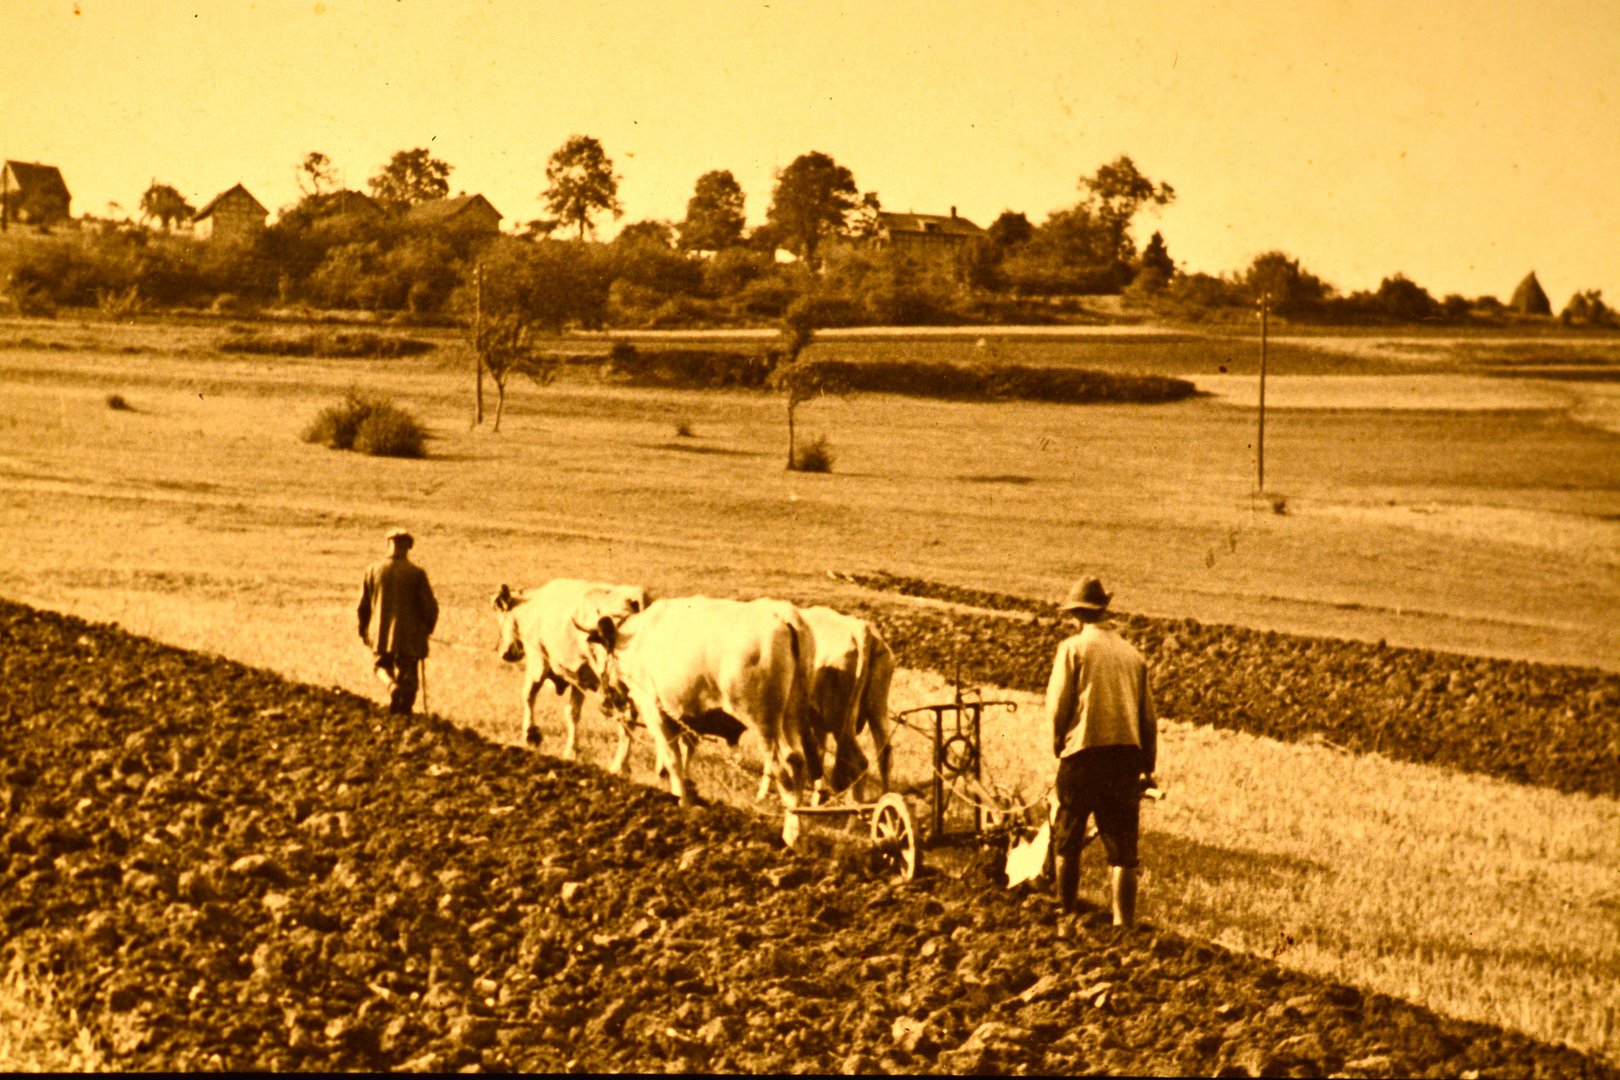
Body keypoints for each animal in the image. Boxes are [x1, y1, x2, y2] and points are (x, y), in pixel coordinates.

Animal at [489, 582, 648, 767]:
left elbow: (528, 695)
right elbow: (572, 713)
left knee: (628, 717)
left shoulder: (538, 662)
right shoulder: (579, 677)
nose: (504, 652)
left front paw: (531, 735)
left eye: (499, 612)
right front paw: (571, 752)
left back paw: (619, 765)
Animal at [583, 599, 816, 841]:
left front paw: (681, 800)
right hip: (793, 715)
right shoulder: (686, 717)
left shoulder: (654, 710)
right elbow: (684, 753)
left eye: (598, 653)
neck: (637, 639)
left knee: (783, 771)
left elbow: (672, 758)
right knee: (797, 761)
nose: (603, 700)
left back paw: (791, 835)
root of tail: (780, 613)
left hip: (763, 722)